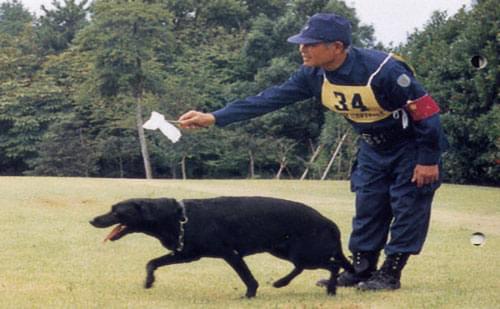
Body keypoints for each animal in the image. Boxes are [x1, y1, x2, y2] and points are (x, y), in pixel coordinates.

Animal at [91, 196, 356, 298]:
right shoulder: (186, 253)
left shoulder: (230, 254)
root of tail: (328, 221)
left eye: (116, 211)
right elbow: (152, 262)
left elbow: (248, 278)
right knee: (315, 266)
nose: (92, 220)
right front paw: (148, 281)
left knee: (333, 265)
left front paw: (249, 296)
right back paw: (289, 283)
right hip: (284, 250)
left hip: (304, 252)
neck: (177, 217)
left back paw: (326, 288)